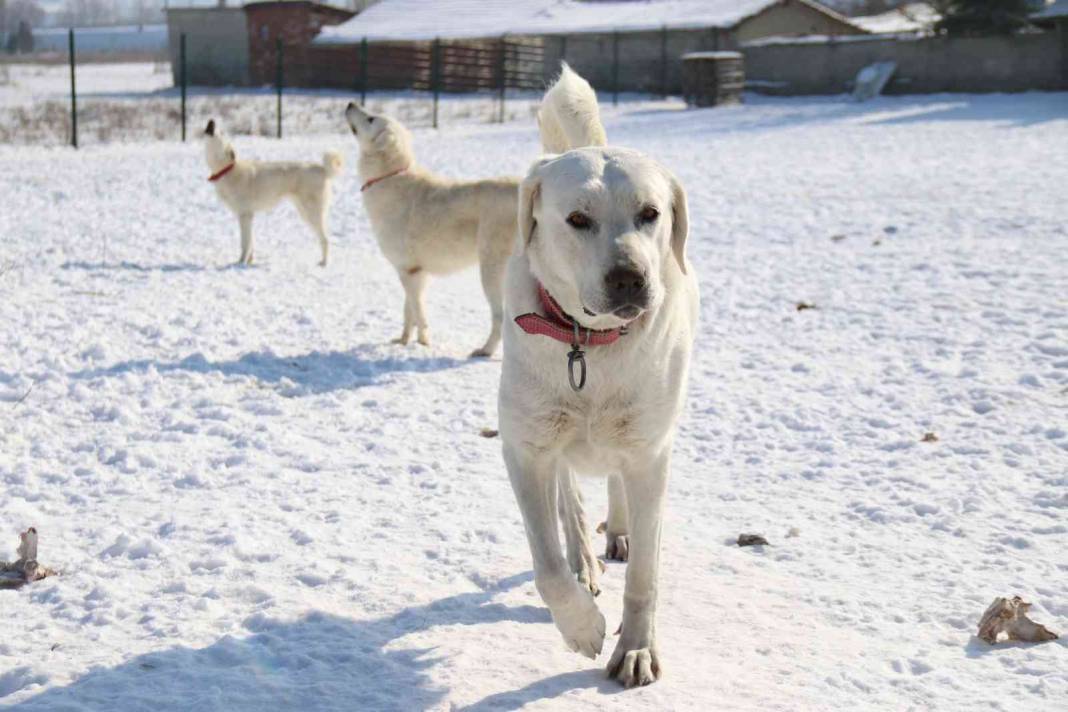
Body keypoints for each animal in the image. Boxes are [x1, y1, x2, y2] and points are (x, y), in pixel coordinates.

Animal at [202, 119, 341, 266]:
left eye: (222, 132)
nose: (212, 120)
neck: (227, 170)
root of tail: (323, 168)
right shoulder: (248, 217)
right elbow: (250, 243)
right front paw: (249, 261)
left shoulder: (245, 215)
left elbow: (245, 243)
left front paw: (240, 262)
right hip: (304, 211)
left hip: (311, 213)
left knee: (325, 239)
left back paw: (324, 262)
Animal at [341, 101, 516, 356]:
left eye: (371, 118)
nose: (350, 103)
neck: (390, 176)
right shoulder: (413, 271)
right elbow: (409, 312)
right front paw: (403, 341)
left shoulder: (409, 271)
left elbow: (418, 312)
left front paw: (423, 342)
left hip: (492, 272)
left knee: (500, 317)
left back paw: (485, 350)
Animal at [499, 68, 700, 691]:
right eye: (578, 219)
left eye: (650, 213)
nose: (630, 278)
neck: (588, 345)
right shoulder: (525, 446)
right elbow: (546, 564)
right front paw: (583, 627)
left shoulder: (651, 450)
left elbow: (646, 577)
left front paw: (635, 650)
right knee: (569, 500)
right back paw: (585, 558)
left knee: (616, 484)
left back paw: (619, 531)